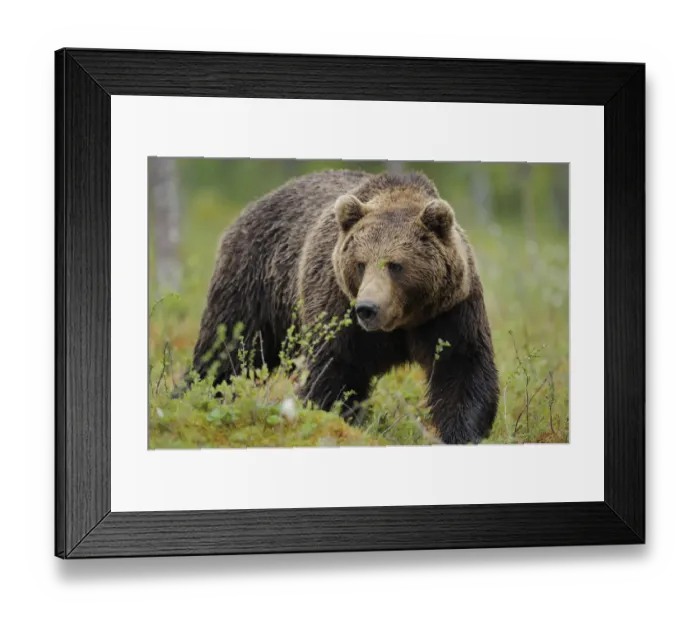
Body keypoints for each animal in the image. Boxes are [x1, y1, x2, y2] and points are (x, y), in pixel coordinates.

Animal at [188, 169, 499, 444]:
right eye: (361, 264)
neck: (401, 323)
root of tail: (253, 205)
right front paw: (328, 419)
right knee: (225, 350)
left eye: (396, 265)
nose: (367, 308)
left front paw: (462, 433)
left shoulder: (450, 310)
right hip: (254, 284)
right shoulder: (337, 308)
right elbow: (332, 371)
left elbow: (461, 368)